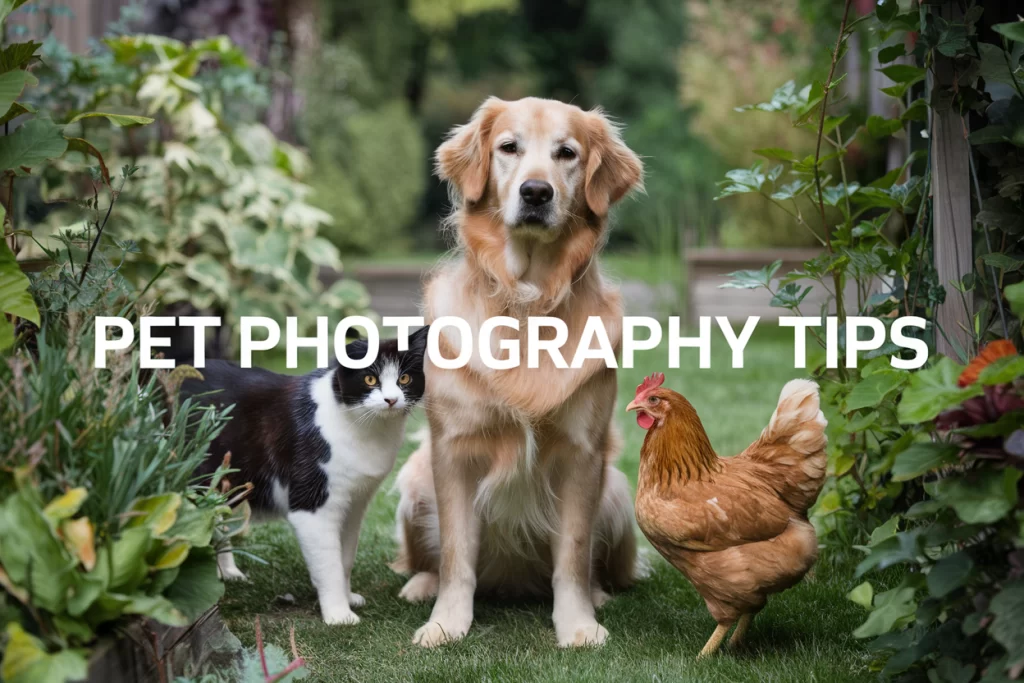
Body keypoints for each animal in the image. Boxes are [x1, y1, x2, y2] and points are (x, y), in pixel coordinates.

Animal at [180, 325, 428, 626]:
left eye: (405, 378)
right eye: (370, 379)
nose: (391, 399)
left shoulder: (354, 504)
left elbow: (345, 558)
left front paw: (347, 598)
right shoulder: (312, 506)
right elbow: (329, 564)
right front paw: (338, 615)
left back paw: (227, 573)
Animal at [393, 96, 643, 647]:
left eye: (567, 153)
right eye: (509, 147)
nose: (535, 192)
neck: (527, 301)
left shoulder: (582, 454)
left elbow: (571, 555)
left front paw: (578, 625)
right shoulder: (453, 451)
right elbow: (456, 555)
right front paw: (445, 623)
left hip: (617, 491)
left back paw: (598, 594)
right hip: (415, 482)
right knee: (427, 559)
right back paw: (420, 586)